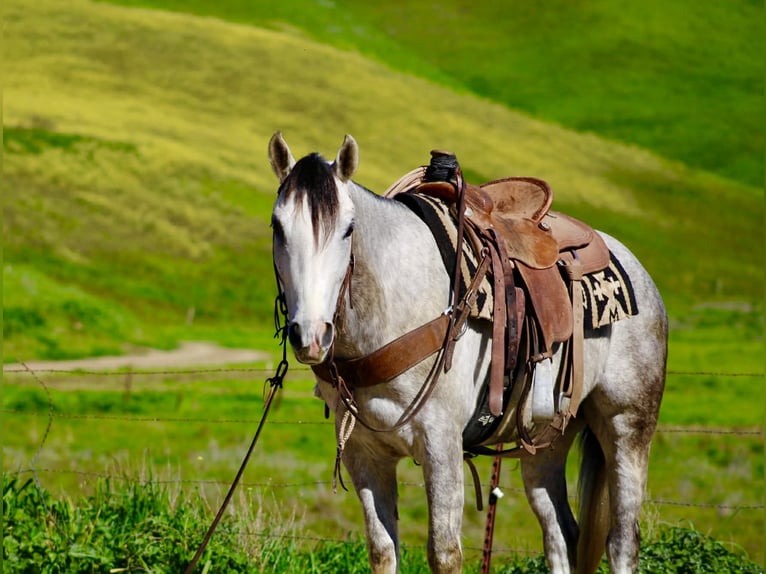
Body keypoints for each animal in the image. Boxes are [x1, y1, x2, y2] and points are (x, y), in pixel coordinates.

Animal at [267, 132, 667, 574]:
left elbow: (444, 553)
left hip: (627, 427)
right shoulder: (364, 454)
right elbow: (383, 550)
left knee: (622, 542)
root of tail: (634, 268)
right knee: (562, 536)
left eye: (347, 230)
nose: (310, 335)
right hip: (546, 439)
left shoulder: (441, 444)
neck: (395, 306)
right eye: (277, 226)